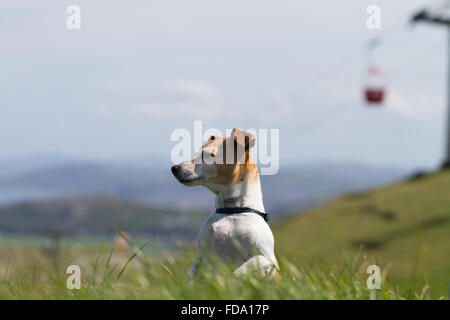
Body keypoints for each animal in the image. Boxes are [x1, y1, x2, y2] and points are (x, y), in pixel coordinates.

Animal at [171, 127, 280, 278]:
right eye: (196, 154)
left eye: (206, 155)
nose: (174, 168)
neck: (231, 212)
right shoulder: (202, 255)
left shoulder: (266, 259)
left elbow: (239, 272)